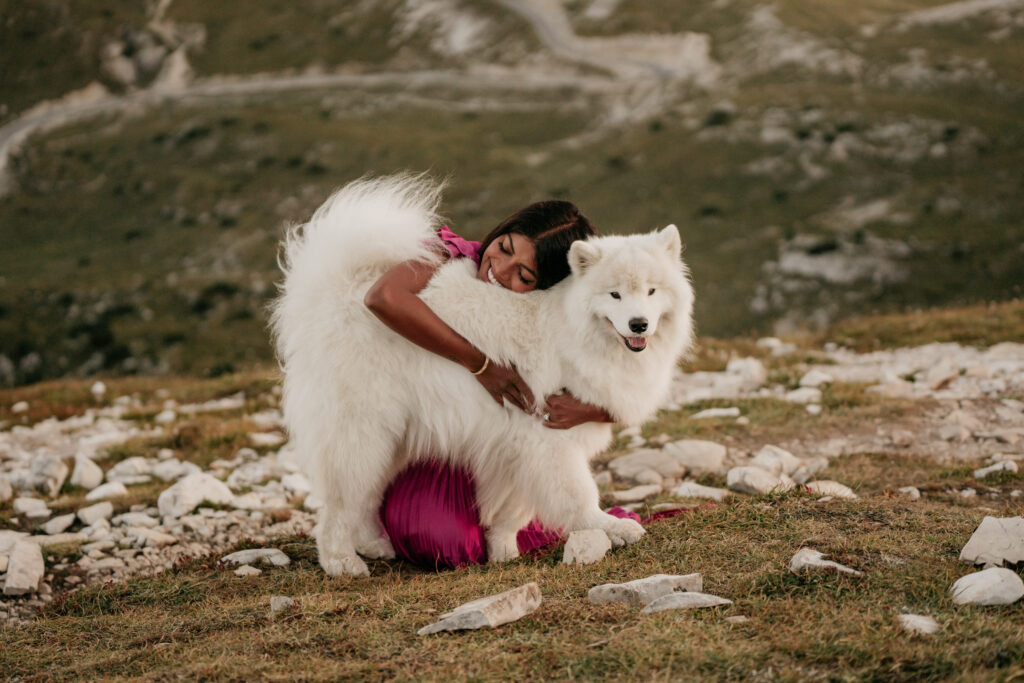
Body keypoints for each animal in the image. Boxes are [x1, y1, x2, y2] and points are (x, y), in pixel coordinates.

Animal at [270, 176, 696, 577]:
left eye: (652, 291)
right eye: (615, 295)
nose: (639, 324)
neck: (572, 329)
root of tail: (339, 289)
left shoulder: (519, 444)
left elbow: (512, 509)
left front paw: (501, 549)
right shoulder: (546, 438)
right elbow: (577, 495)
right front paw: (611, 527)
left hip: (395, 436)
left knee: (367, 498)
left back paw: (376, 545)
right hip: (363, 430)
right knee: (339, 505)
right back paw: (341, 562)